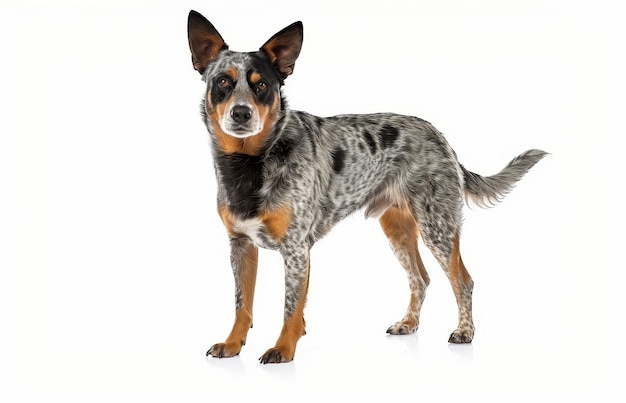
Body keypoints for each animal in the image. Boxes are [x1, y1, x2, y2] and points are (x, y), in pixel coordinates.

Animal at [186, 9, 544, 364]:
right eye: (222, 82)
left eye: (262, 85)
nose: (241, 113)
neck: (249, 164)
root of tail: (440, 137)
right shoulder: (241, 246)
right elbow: (242, 305)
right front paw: (233, 343)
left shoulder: (297, 249)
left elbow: (290, 308)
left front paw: (283, 348)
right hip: (398, 230)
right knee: (421, 278)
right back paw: (408, 323)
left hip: (437, 228)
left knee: (463, 281)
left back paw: (465, 331)